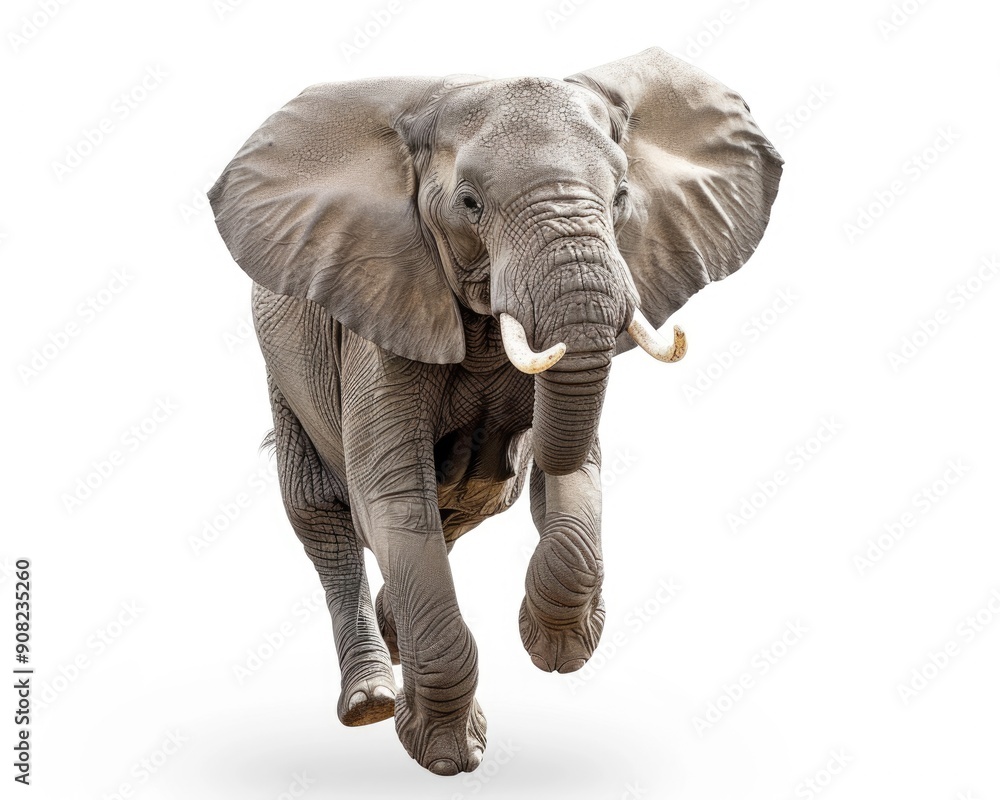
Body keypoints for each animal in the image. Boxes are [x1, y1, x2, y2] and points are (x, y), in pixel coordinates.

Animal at [209, 46, 782, 775]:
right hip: (285, 369)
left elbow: (573, 475)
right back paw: (369, 700)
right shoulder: (382, 303)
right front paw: (448, 755)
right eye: (470, 203)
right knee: (324, 515)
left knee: (466, 506)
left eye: (622, 197)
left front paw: (561, 649)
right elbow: (393, 495)